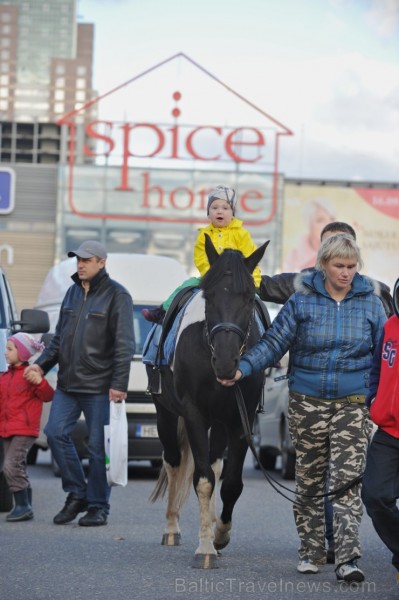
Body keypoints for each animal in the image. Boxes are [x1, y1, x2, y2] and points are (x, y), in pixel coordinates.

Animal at [147, 234, 268, 568]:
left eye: (249, 298)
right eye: (209, 296)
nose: (226, 363)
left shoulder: (241, 419)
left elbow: (231, 483)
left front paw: (219, 535)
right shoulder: (194, 415)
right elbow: (202, 480)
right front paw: (205, 550)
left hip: (221, 423)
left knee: (215, 464)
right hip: (165, 415)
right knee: (174, 462)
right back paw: (171, 528)